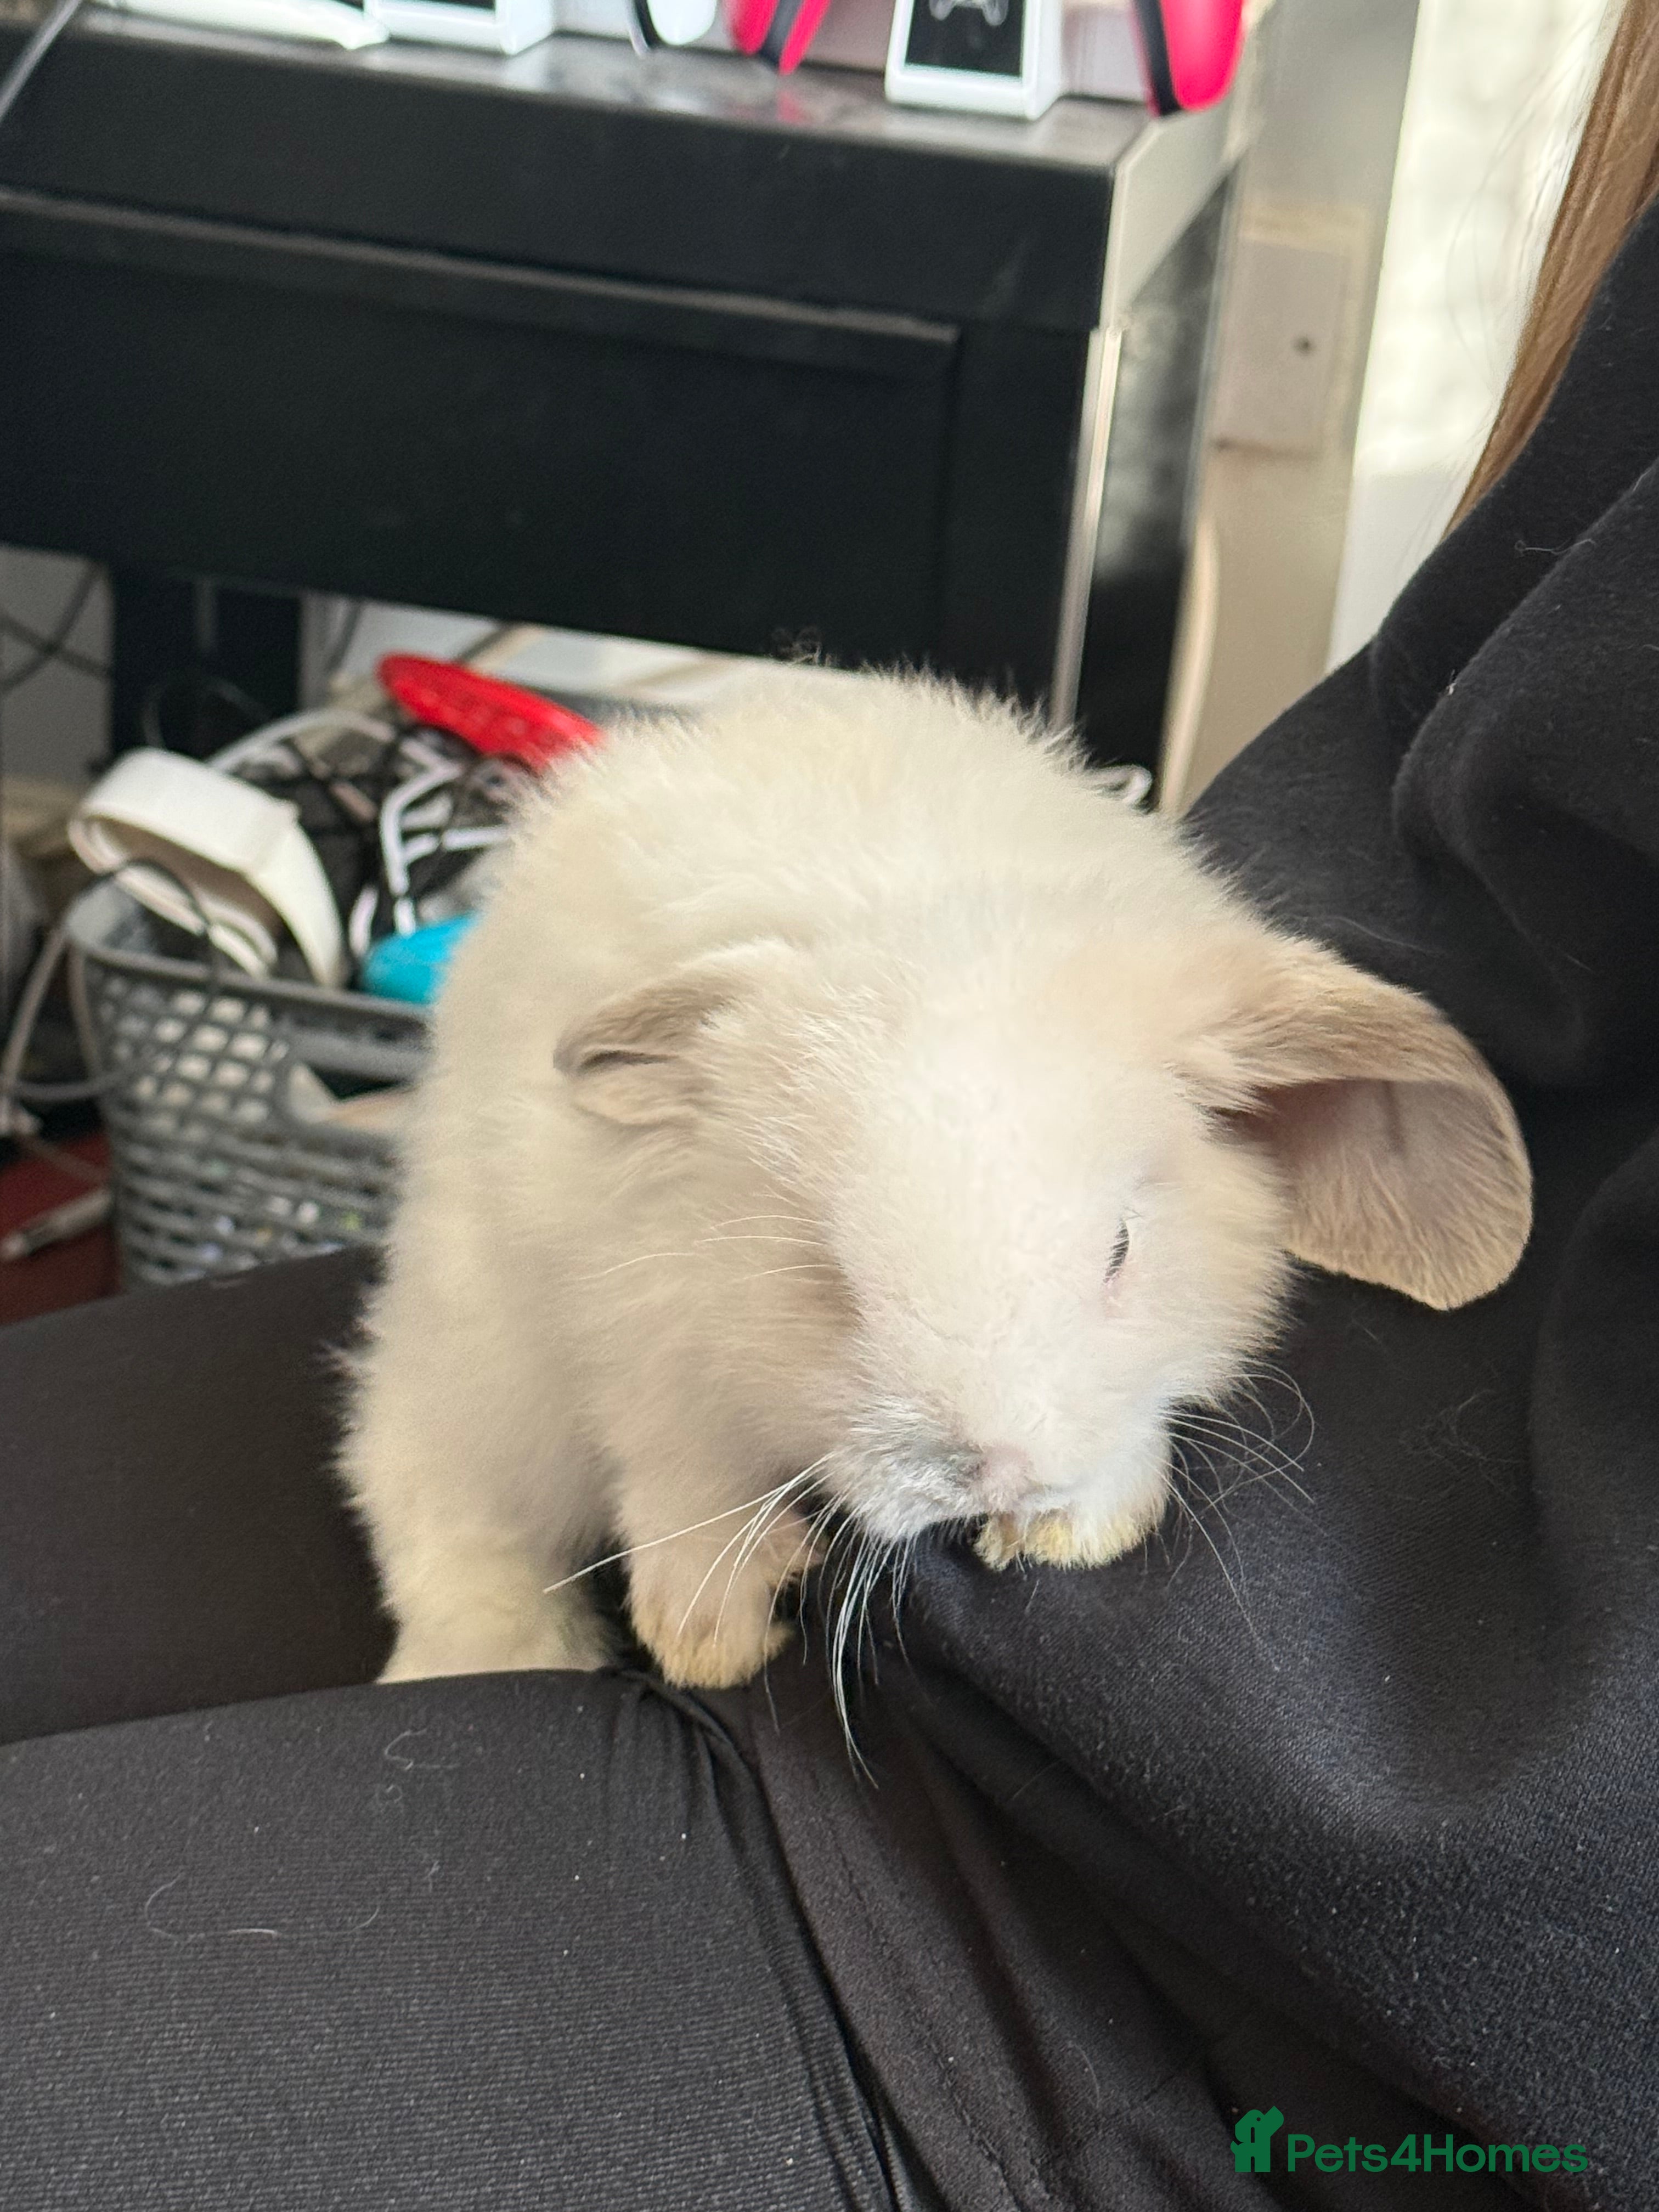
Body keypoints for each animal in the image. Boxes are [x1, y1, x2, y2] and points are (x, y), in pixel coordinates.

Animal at [341, 670, 1532, 1692]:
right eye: (827, 1278)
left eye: (1121, 1248)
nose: (1001, 1474)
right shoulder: (640, 1352)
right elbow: (681, 1477)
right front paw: (715, 1629)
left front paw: (1078, 1530)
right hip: (474, 1386)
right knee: (441, 1516)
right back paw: (489, 1653)